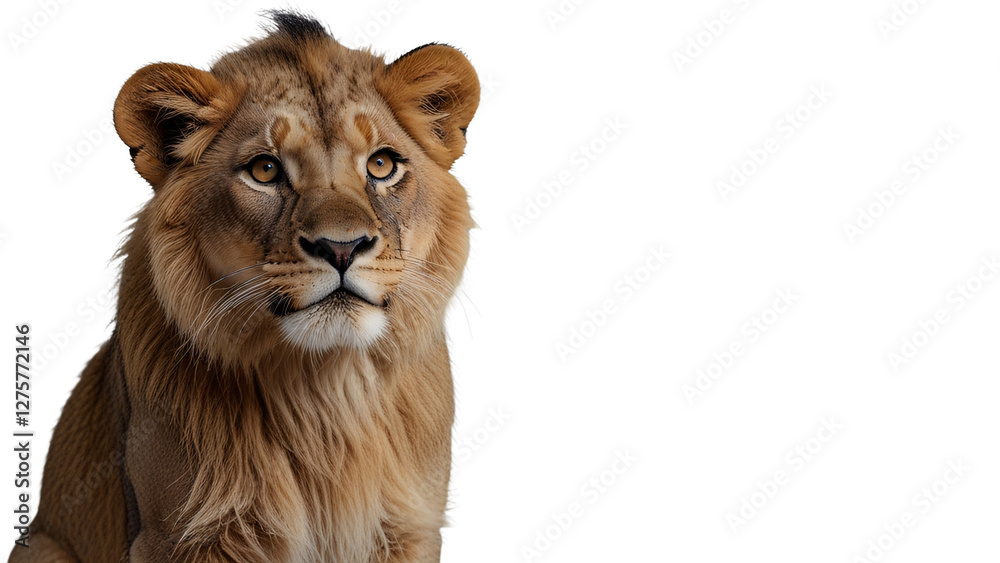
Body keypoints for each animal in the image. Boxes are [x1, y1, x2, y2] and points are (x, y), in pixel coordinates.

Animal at [9, 11, 478, 563]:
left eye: (381, 164)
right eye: (265, 169)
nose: (341, 248)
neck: (322, 390)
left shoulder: (410, 527)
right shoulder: (177, 536)